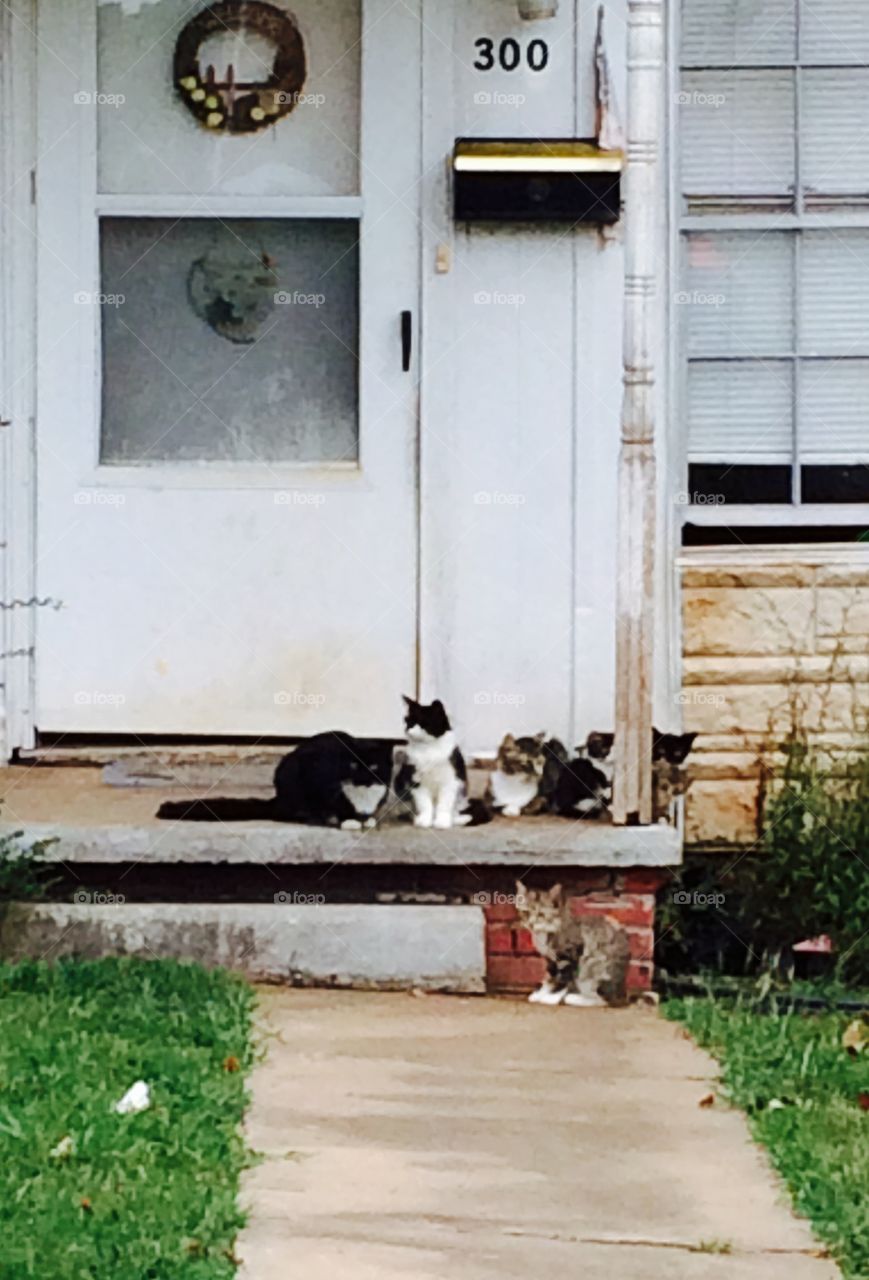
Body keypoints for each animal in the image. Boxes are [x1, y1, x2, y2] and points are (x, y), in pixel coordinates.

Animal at [158, 732, 396, 829]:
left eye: (374, 767)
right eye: (354, 765)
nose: (362, 777)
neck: (362, 795)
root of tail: (277, 798)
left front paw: (368, 819)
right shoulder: (320, 778)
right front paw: (348, 821)